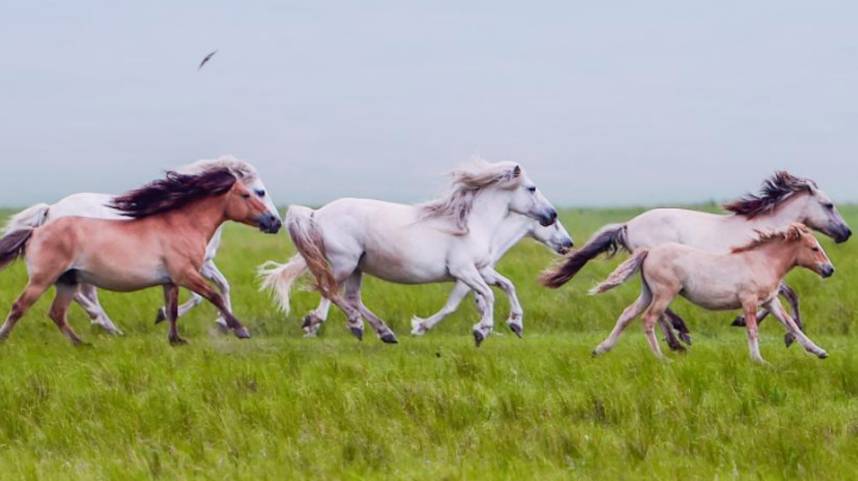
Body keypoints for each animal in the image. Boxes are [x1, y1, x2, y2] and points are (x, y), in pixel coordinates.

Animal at [0, 163, 282, 344]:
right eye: (250, 193)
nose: (274, 222)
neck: (181, 225)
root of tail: (36, 229)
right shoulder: (187, 273)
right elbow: (213, 295)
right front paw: (240, 330)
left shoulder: (171, 280)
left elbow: (174, 308)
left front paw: (176, 339)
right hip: (44, 279)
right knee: (20, 306)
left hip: (67, 281)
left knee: (58, 313)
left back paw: (83, 342)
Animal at [540, 170, 848, 348]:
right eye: (829, 205)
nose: (846, 232)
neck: (765, 229)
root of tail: (628, 224)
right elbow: (791, 294)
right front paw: (785, 335)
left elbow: (782, 298)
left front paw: (749, 322)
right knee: (657, 309)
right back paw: (680, 337)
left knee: (651, 307)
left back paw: (677, 338)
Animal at [588, 223, 828, 362]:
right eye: (814, 248)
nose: (829, 269)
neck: (761, 261)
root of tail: (649, 251)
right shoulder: (749, 301)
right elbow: (752, 330)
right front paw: (759, 361)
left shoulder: (770, 301)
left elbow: (792, 325)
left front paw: (820, 352)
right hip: (665, 293)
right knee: (648, 320)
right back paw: (663, 359)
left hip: (648, 293)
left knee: (627, 315)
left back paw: (600, 349)